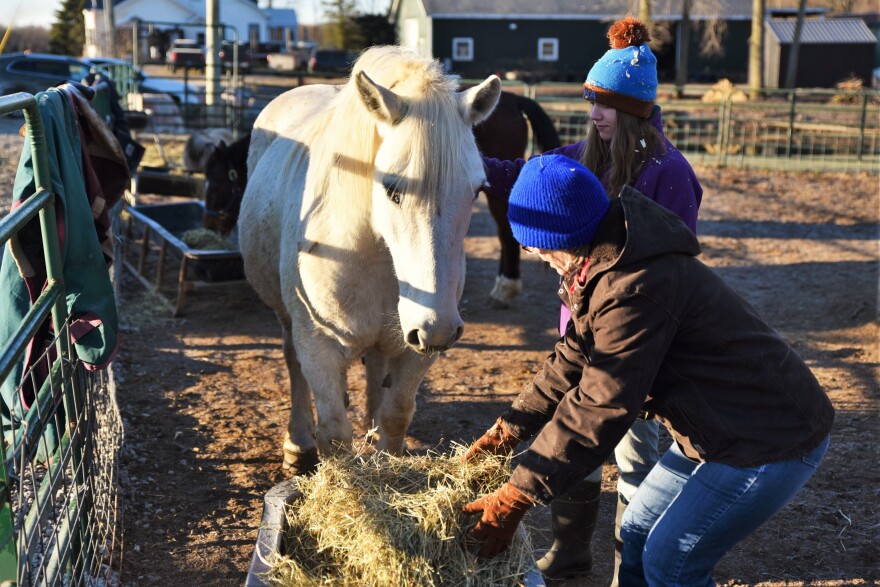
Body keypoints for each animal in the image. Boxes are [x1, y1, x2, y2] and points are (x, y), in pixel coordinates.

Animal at [239, 47, 502, 478]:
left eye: (478, 189)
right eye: (392, 188)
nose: (439, 327)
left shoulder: (417, 351)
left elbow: (396, 414)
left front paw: (385, 461)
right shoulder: (318, 343)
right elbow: (333, 432)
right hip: (287, 318)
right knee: (292, 363)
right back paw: (297, 443)